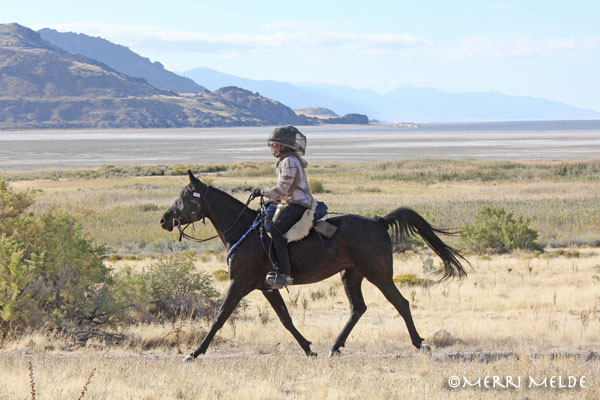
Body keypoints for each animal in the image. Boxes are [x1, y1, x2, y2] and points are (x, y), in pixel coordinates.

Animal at [161, 171, 468, 360]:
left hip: (378, 274)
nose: (165, 220)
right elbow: (285, 319)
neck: (243, 231)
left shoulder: (239, 284)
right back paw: (334, 347)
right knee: (358, 308)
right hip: (351, 275)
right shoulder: (267, 288)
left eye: (186, 195)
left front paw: (195, 352)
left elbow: (220, 317)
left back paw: (420, 343)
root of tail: (377, 221)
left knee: (400, 303)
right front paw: (309, 349)